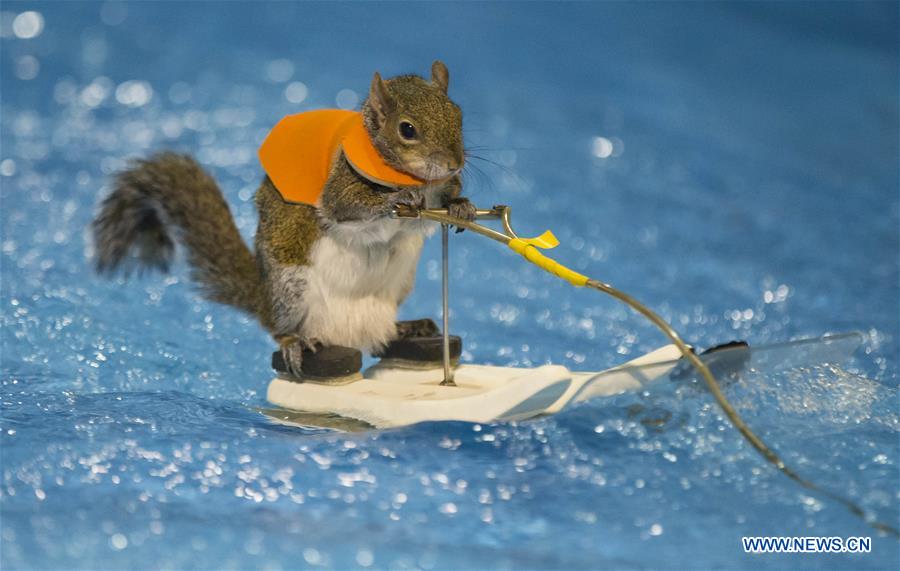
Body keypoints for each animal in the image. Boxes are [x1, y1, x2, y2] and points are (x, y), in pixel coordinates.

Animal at [92, 61, 475, 377]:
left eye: (458, 116)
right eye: (407, 129)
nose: (454, 164)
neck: (418, 180)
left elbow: (431, 215)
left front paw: (461, 206)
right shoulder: (339, 187)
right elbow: (348, 207)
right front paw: (397, 198)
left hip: (398, 285)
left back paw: (409, 327)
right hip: (291, 288)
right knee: (277, 327)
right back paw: (293, 342)